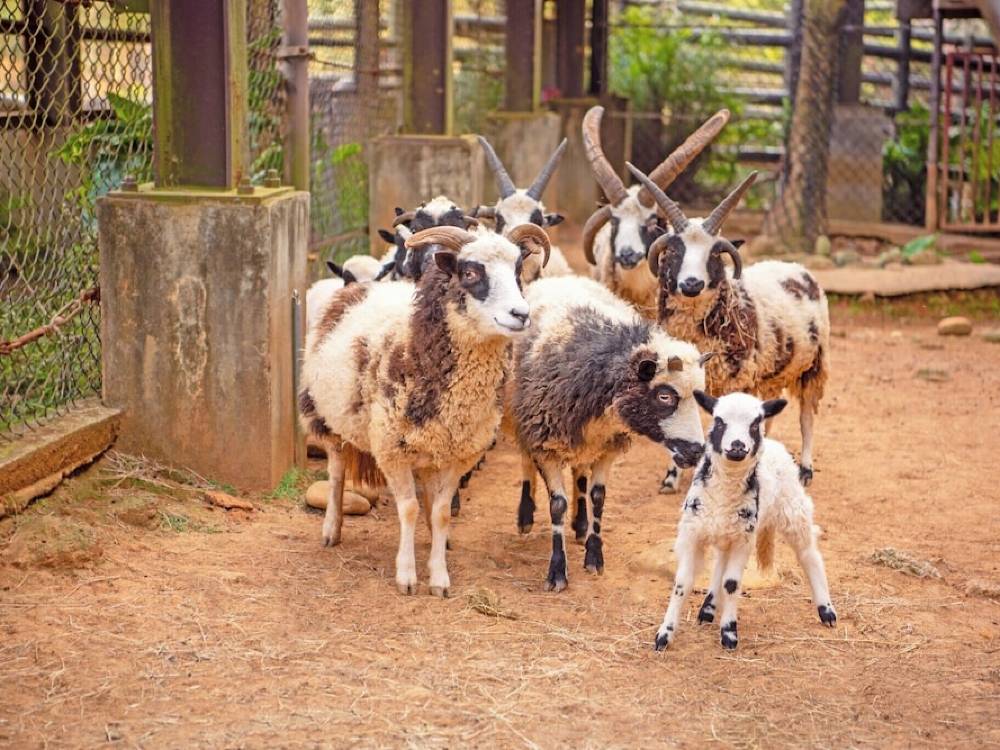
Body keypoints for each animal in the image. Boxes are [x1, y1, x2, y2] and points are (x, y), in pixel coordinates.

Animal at [300, 223, 552, 600]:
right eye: (470, 272)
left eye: (518, 269)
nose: (521, 315)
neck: (414, 345)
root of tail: (358, 288)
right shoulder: (391, 450)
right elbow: (409, 509)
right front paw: (406, 575)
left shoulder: (458, 454)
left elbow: (441, 512)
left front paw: (439, 575)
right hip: (326, 415)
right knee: (336, 472)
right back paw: (332, 529)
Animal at [508, 276, 712, 592]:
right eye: (665, 396)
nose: (694, 451)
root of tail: (562, 278)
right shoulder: (545, 441)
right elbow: (557, 505)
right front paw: (557, 572)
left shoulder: (607, 446)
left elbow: (597, 497)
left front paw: (594, 556)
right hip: (521, 413)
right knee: (526, 460)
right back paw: (526, 516)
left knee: (580, 473)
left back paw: (580, 525)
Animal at [628, 162, 832, 488]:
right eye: (674, 251)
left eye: (714, 254)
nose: (692, 284)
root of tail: (794, 266)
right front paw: (671, 477)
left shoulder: (739, 379)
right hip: (771, 373)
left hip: (814, 365)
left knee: (806, 418)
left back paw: (805, 470)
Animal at [656, 394, 836, 652]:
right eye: (719, 421)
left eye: (755, 423)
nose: (738, 446)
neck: (725, 492)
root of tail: (773, 443)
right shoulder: (693, 534)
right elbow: (682, 584)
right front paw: (664, 634)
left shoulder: (744, 540)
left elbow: (731, 584)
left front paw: (729, 633)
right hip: (728, 532)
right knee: (720, 564)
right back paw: (708, 608)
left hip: (793, 510)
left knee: (809, 555)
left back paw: (827, 610)